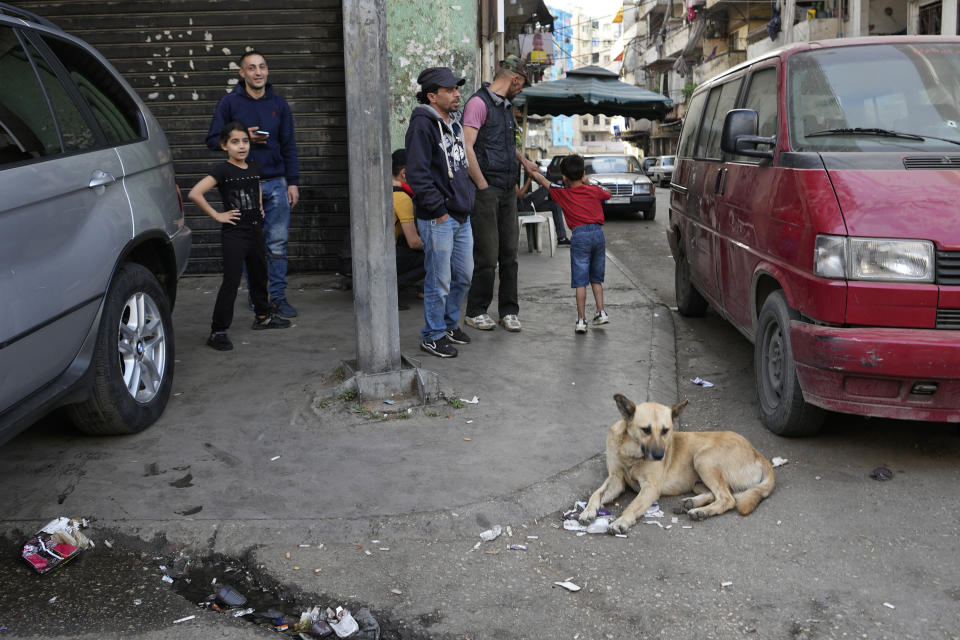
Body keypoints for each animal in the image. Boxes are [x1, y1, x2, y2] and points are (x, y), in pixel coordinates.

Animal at [576, 392, 772, 532]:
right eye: (645, 430)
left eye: (666, 431)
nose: (660, 456)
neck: (630, 453)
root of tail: (757, 453)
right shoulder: (615, 479)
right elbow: (596, 494)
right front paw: (588, 511)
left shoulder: (650, 488)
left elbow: (632, 506)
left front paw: (621, 521)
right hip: (698, 479)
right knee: (723, 493)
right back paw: (692, 503)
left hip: (703, 459)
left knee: (728, 498)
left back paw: (700, 511)